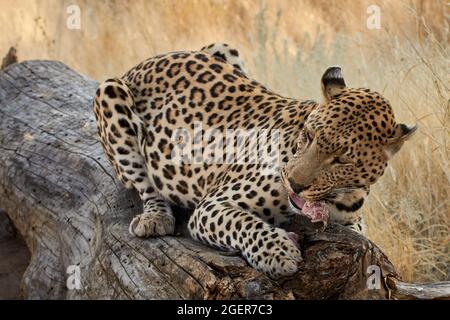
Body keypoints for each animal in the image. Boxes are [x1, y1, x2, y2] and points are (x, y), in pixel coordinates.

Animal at [92, 42, 418, 278]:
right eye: (309, 135)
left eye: (341, 160)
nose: (294, 184)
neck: (341, 198)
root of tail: (148, 60)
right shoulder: (212, 206)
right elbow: (244, 223)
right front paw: (278, 254)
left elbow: (359, 230)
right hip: (110, 92)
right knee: (145, 185)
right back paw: (155, 218)